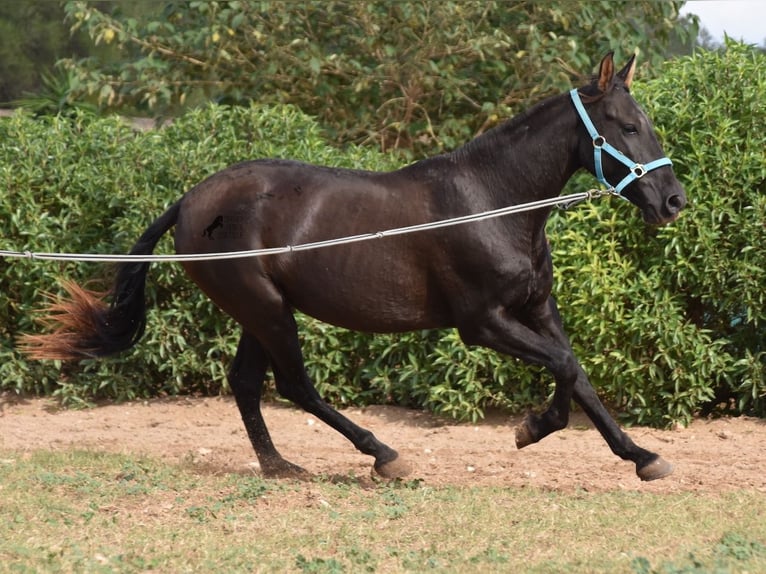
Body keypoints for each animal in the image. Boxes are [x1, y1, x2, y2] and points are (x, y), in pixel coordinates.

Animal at [21, 54, 688, 484]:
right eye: (628, 126)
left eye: (650, 123)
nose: (674, 201)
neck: (493, 201)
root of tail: (189, 201)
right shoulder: (483, 323)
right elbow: (566, 368)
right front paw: (532, 427)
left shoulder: (535, 307)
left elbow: (578, 374)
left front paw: (641, 457)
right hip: (264, 307)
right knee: (292, 385)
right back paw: (384, 455)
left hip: (259, 311)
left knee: (246, 383)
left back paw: (280, 467)